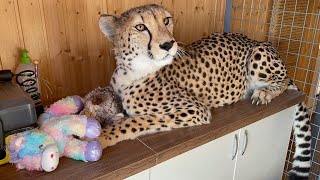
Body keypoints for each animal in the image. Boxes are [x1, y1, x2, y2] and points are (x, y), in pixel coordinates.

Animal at [99, 4, 312, 179]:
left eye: (166, 20)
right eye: (140, 27)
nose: (168, 44)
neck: (132, 70)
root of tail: (251, 39)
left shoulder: (196, 110)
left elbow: (137, 121)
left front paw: (104, 136)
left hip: (258, 54)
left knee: (283, 80)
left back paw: (264, 92)